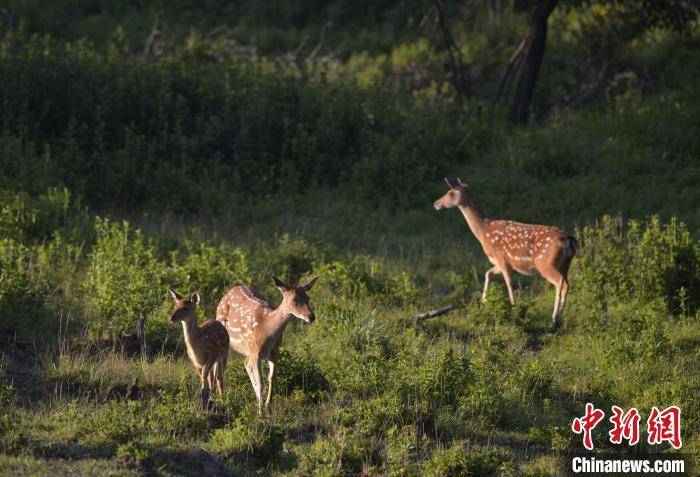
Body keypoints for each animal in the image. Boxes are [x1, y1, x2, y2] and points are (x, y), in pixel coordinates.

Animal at [216, 274, 320, 414]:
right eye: (295, 299)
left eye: (308, 298)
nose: (311, 316)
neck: (267, 328)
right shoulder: (256, 353)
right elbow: (261, 382)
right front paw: (260, 412)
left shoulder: (274, 352)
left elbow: (272, 378)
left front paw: (267, 406)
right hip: (225, 342)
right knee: (220, 373)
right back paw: (222, 401)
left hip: (248, 350)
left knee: (245, 364)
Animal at [434, 178, 576, 328]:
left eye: (450, 193)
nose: (436, 203)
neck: (483, 232)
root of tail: (568, 239)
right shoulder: (501, 262)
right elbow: (488, 273)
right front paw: (484, 302)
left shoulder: (501, 258)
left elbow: (508, 282)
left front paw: (513, 307)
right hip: (565, 265)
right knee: (566, 283)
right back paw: (560, 316)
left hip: (545, 263)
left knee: (559, 282)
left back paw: (555, 317)